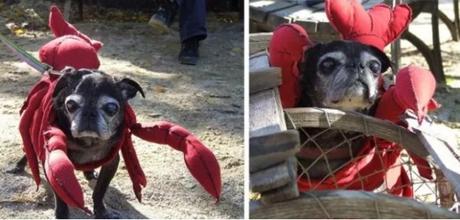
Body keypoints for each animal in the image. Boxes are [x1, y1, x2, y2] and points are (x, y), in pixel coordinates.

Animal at [8, 67, 144, 218]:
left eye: (111, 108)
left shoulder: (111, 163)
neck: (88, 143)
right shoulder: (54, 165)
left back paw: (89, 172)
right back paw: (18, 166)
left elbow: (100, 190)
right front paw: (62, 214)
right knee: (28, 152)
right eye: (70, 105)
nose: (89, 113)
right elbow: (61, 196)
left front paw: (101, 211)